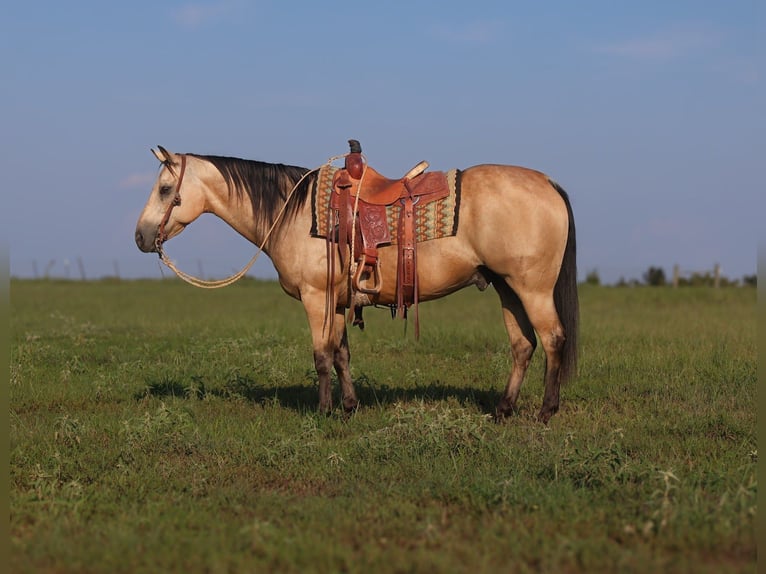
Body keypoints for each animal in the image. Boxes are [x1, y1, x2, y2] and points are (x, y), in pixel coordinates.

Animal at [134, 145, 579, 423]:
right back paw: (504, 409)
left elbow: (321, 356)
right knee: (523, 345)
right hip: (507, 288)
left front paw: (324, 411)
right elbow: (342, 354)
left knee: (553, 339)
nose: (140, 237)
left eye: (165, 189)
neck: (292, 212)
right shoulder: (336, 301)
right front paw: (349, 406)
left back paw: (546, 412)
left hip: (532, 288)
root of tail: (548, 182)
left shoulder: (316, 297)